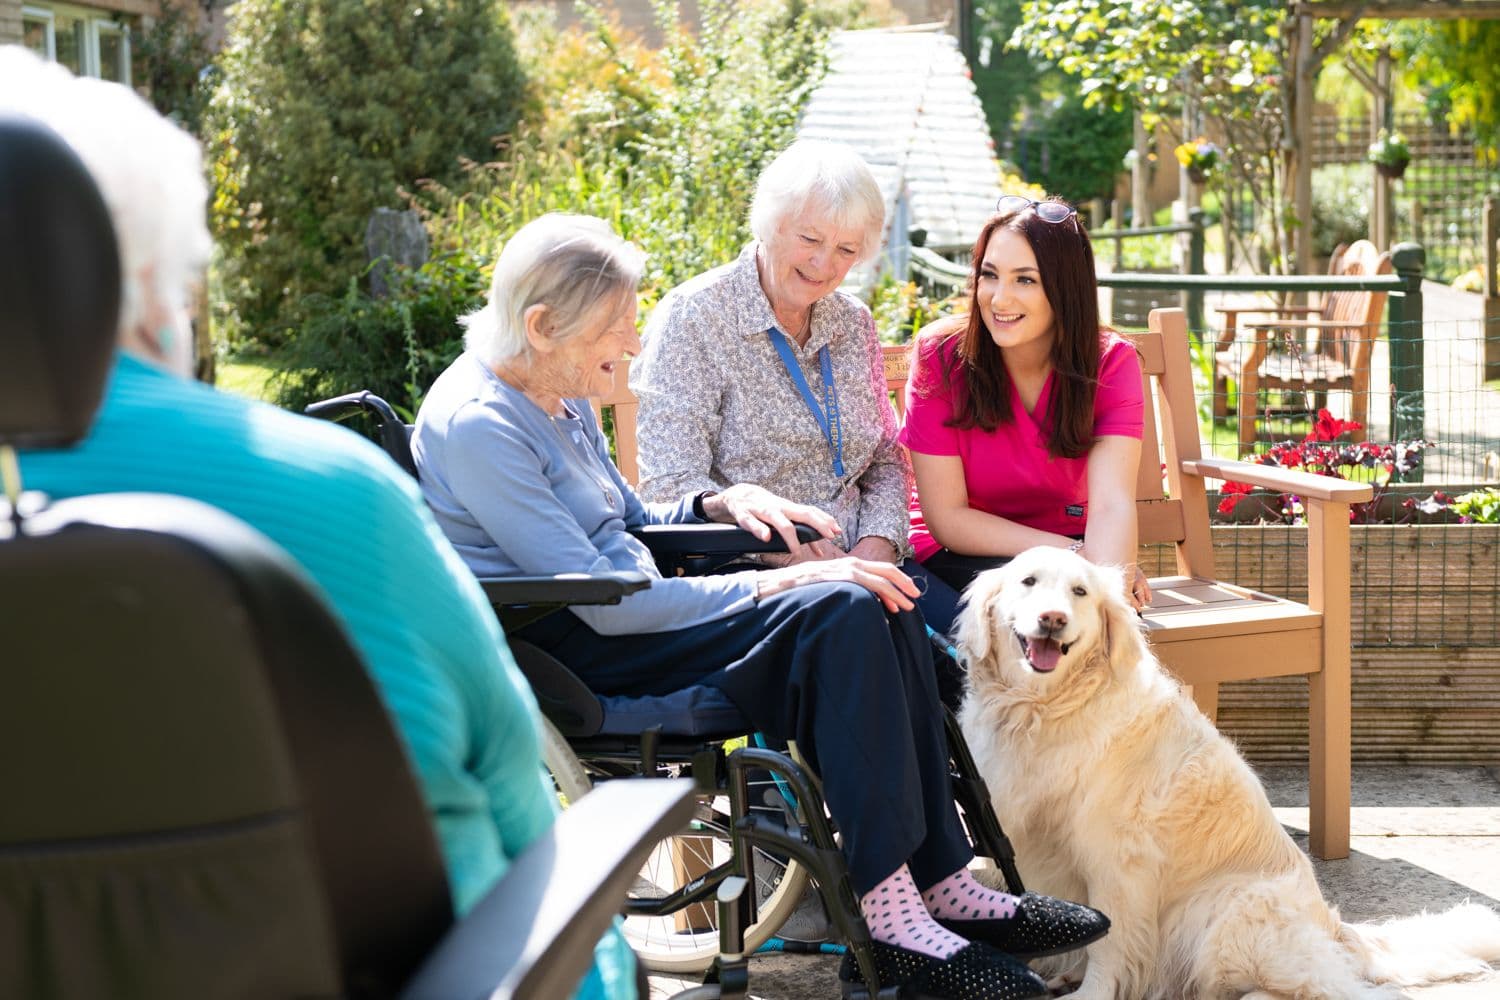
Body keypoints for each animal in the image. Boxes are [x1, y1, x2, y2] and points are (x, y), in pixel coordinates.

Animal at [954, 548, 1494, 1000]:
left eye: (1080, 592)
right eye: (1028, 582)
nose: (1053, 619)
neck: (1043, 711)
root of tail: (1335, 928)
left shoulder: (1120, 860)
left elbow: (1112, 940)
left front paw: (1091, 994)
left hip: (1226, 913)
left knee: (1329, 988)